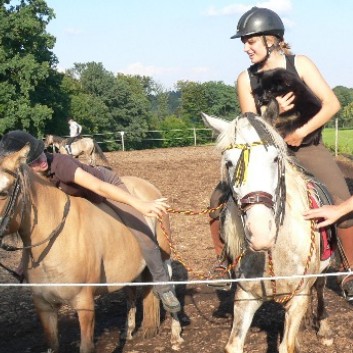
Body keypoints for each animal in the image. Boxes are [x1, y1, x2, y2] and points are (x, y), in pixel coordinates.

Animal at [0, 145, 182, 352]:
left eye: (4, 192)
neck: (56, 241)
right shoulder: (44, 307)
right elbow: (53, 344)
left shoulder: (84, 303)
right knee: (131, 294)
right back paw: (128, 331)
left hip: (164, 257)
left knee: (169, 285)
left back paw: (175, 335)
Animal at [201, 112, 332, 352]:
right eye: (229, 162)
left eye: (275, 159)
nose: (261, 233)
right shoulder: (246, 297)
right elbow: (234, 344)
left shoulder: (299, 296)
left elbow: (285, 345)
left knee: (319, 287)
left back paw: (324, 328)